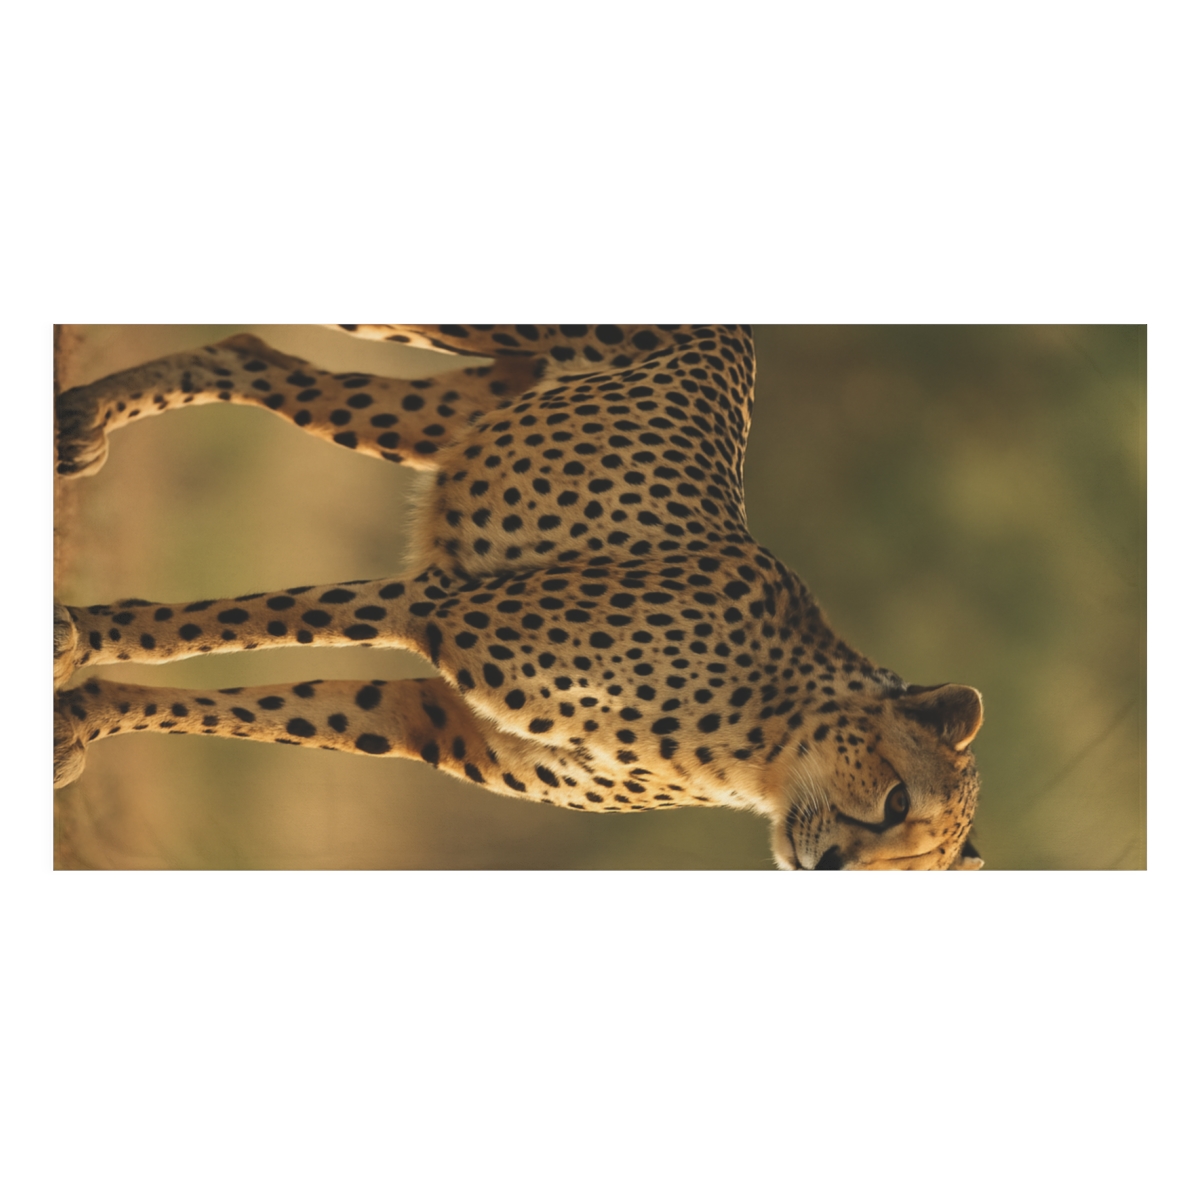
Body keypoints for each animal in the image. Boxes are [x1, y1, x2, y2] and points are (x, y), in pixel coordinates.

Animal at [53, 324, 985, 870]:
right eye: (896, 801)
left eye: (909, 867)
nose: (831, 866)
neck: (766, 747)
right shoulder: (433, 604)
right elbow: (246, 620)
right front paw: (75, 638)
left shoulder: (430, 716)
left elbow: (271, 708)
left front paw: (81, 718)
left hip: (423, 416)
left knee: (252, 353)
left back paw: (83, 418)